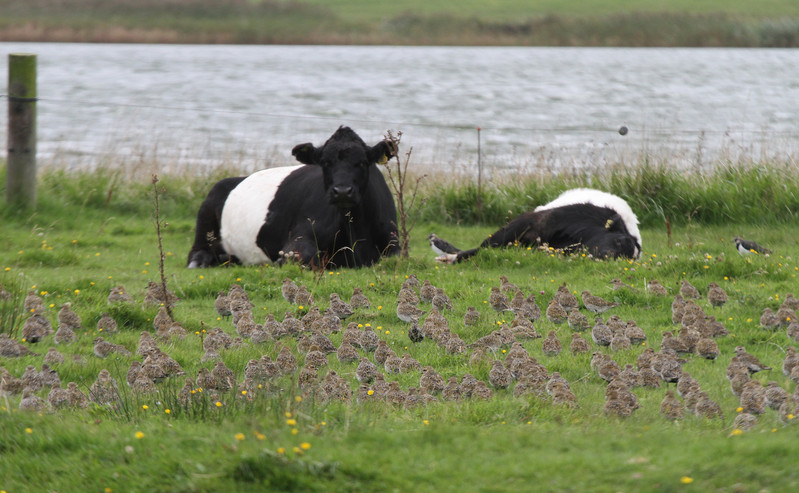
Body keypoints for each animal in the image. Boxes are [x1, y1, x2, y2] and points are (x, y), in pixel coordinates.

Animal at [188, 125, 400, 268]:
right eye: (325, 162)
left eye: (362, 162)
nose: (342, 191)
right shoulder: (300, 236)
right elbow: (304, 257)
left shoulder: (394, 243)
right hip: (206, 220)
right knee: (197, 254)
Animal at [432, 187, 644, 264]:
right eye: (617, 241)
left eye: (627, 258)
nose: (607, 257)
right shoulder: (533, 223)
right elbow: (483, 247)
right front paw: (451, 256)